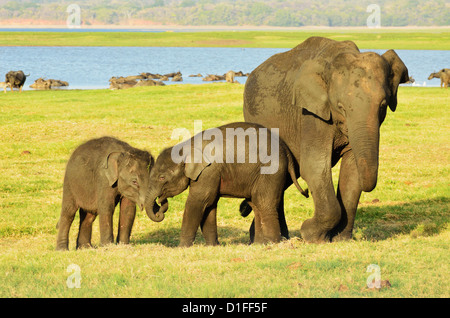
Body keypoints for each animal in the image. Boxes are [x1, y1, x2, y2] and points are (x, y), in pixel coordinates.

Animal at [146, 120, 308, 247]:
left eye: (162, 178)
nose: (160, 208)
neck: (186, 145)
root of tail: (286, 149)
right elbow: (209, 204)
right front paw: (213, 246)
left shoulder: (209, 171)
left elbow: (198, 201)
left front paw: (182, 247)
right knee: (256, 203)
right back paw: (259, 244)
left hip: (270, 172)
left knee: (264, 202)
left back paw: (272, 244)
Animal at [244, 35, 410, 243]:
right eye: (340, 107)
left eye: (383, 105)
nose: (306, 194)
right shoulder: (310, 113)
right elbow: (313, 166)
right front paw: (311, 235)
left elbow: (352, 169)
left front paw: (340, 239)